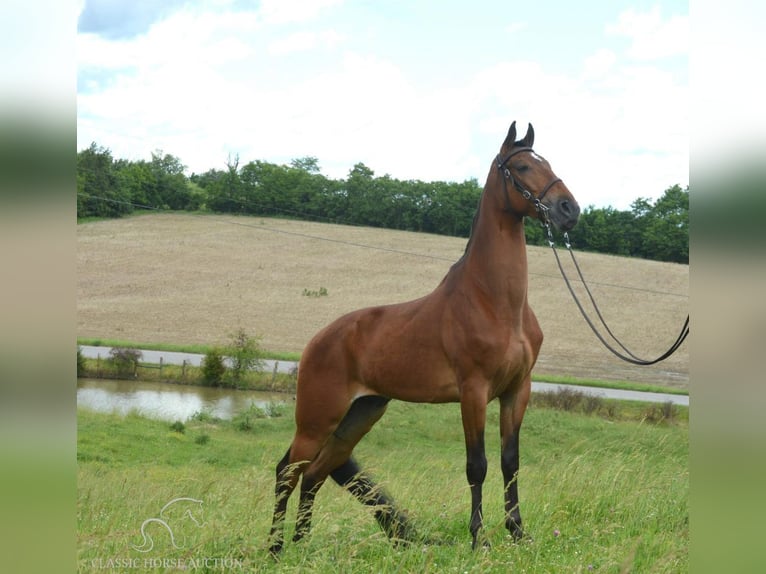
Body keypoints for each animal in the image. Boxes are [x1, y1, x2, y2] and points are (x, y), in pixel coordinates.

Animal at [270, 120, 584, 552]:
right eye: (521, 167)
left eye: (547, 161)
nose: (569, 210)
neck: (497, 302)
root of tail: (319, 339)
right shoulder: (473, 392)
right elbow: (477, 465)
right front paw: (479, 540)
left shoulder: (516, 391)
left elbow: (511, 462)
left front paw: (518, 532)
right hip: (317, 418)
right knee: (288, 470)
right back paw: (276, 548)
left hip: (359, 416)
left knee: (315, 472)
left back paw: (303, 545)